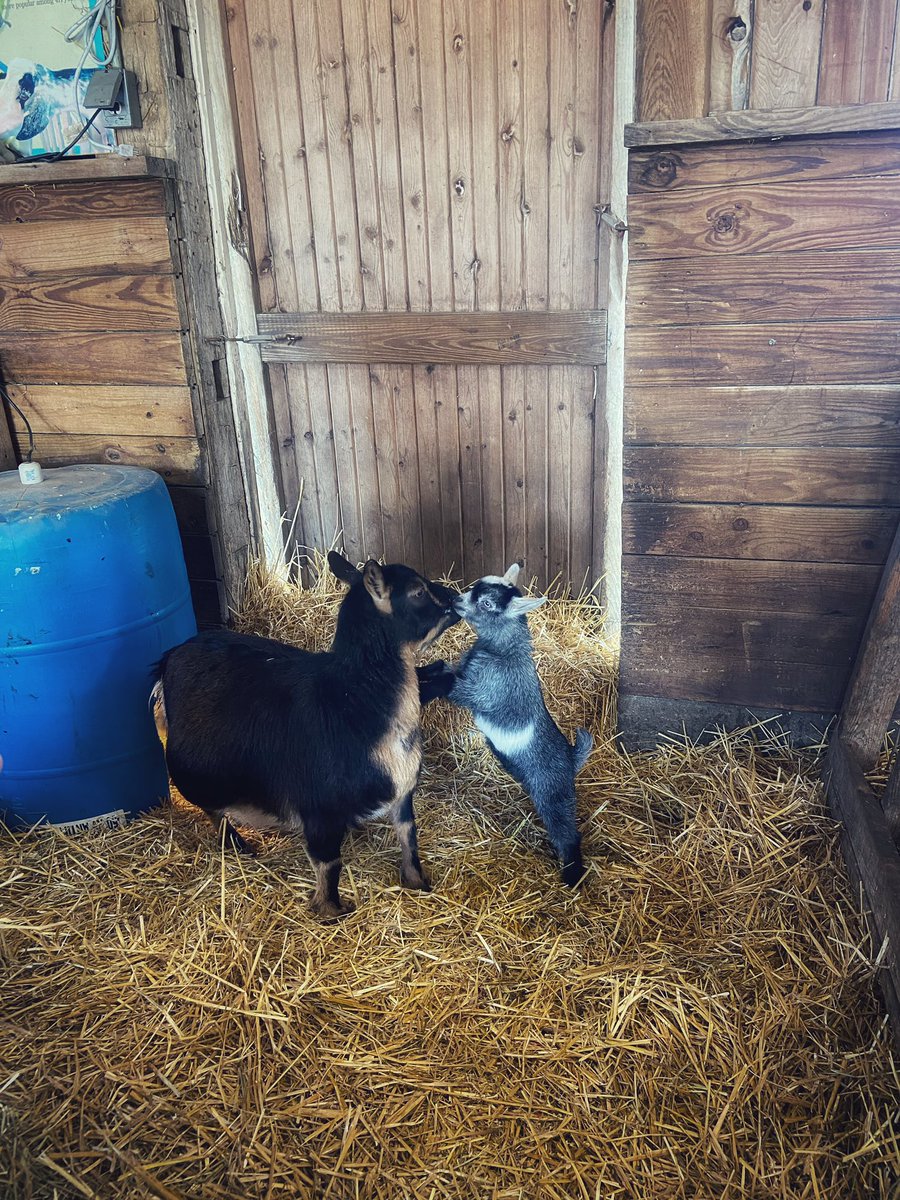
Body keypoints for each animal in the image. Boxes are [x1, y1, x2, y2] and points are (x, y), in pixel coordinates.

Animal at [153, 552, 458, 919]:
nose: (456, 600)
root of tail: (170, 658)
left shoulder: (401, 792)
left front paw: (417, 882)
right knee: (212, 809)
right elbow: (329, 863)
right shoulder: (319, 809)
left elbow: (408, 836)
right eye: (417, 592)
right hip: (198, 778)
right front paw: (331, 911)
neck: (356, 703)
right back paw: (237, 844)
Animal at [423, 564, 591, 886]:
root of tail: (571, 757)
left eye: (488, 604)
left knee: (566, 830)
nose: (455, 600)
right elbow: (440, 669)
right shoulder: (463, 672)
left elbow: (447, 683)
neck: (503, 652)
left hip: (552, 791)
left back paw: (572, 874)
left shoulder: (482, 691)